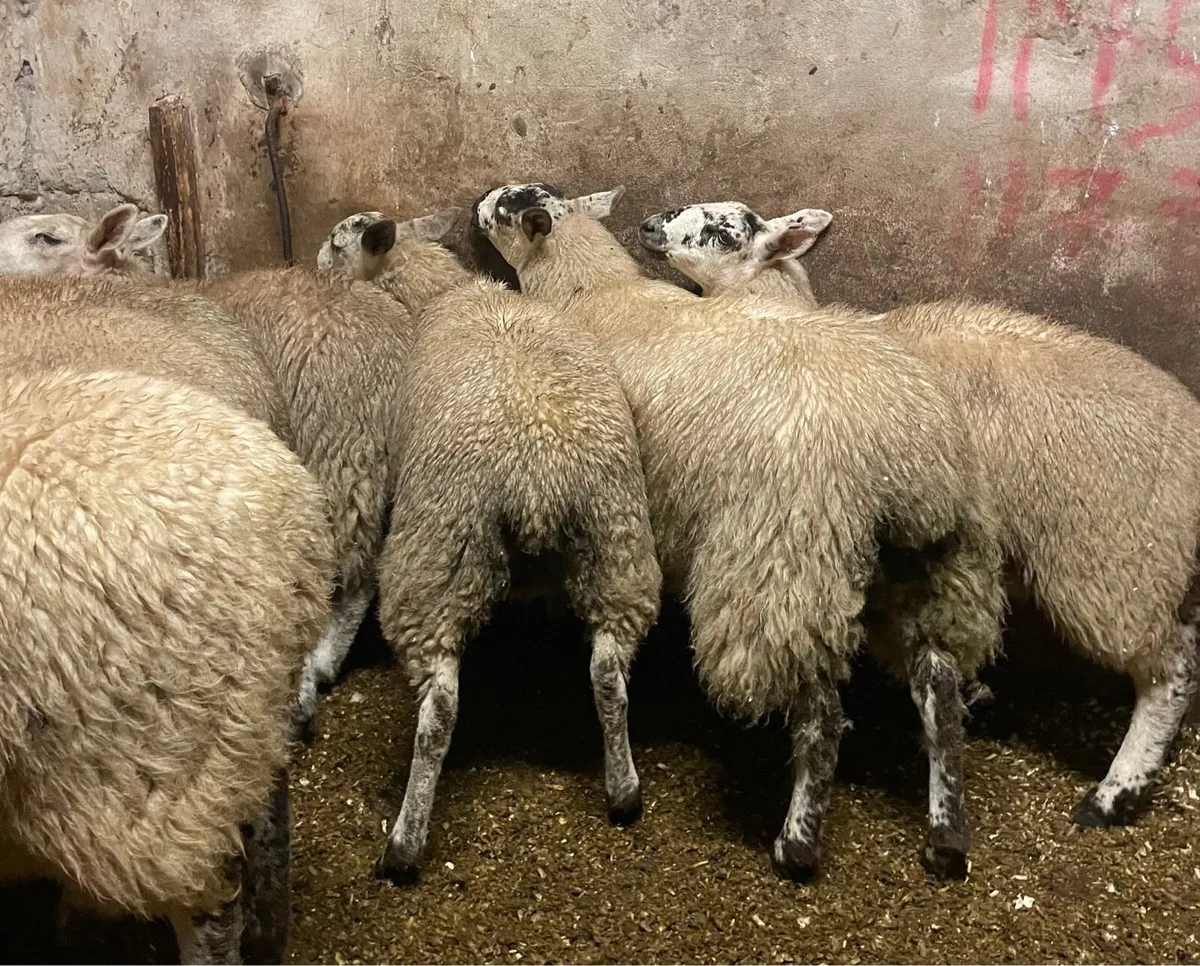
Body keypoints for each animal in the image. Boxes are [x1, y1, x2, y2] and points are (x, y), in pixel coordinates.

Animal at [316, 208, 662, 883]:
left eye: (338, 245)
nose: (314, 263)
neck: (446, 293)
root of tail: (539, 478)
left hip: (437, 554)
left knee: (441, 709)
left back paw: (403, 845)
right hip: (617, 543)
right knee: (610, 674)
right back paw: (624, 793)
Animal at [471, 183, 1005, 881]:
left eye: (724, 232)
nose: (650, 223)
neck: (594, 291)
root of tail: (905, 468)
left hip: (781, 570)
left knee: (821, 719)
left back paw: (796, 844)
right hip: (942, 569)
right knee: (939, 689)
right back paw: (946, 836)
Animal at [638, 198, 1200, 828]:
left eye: (722, 231)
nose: (648, 225)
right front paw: (975, 695)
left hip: (1114, 564)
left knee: (1169, 674)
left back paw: (1115, 792)